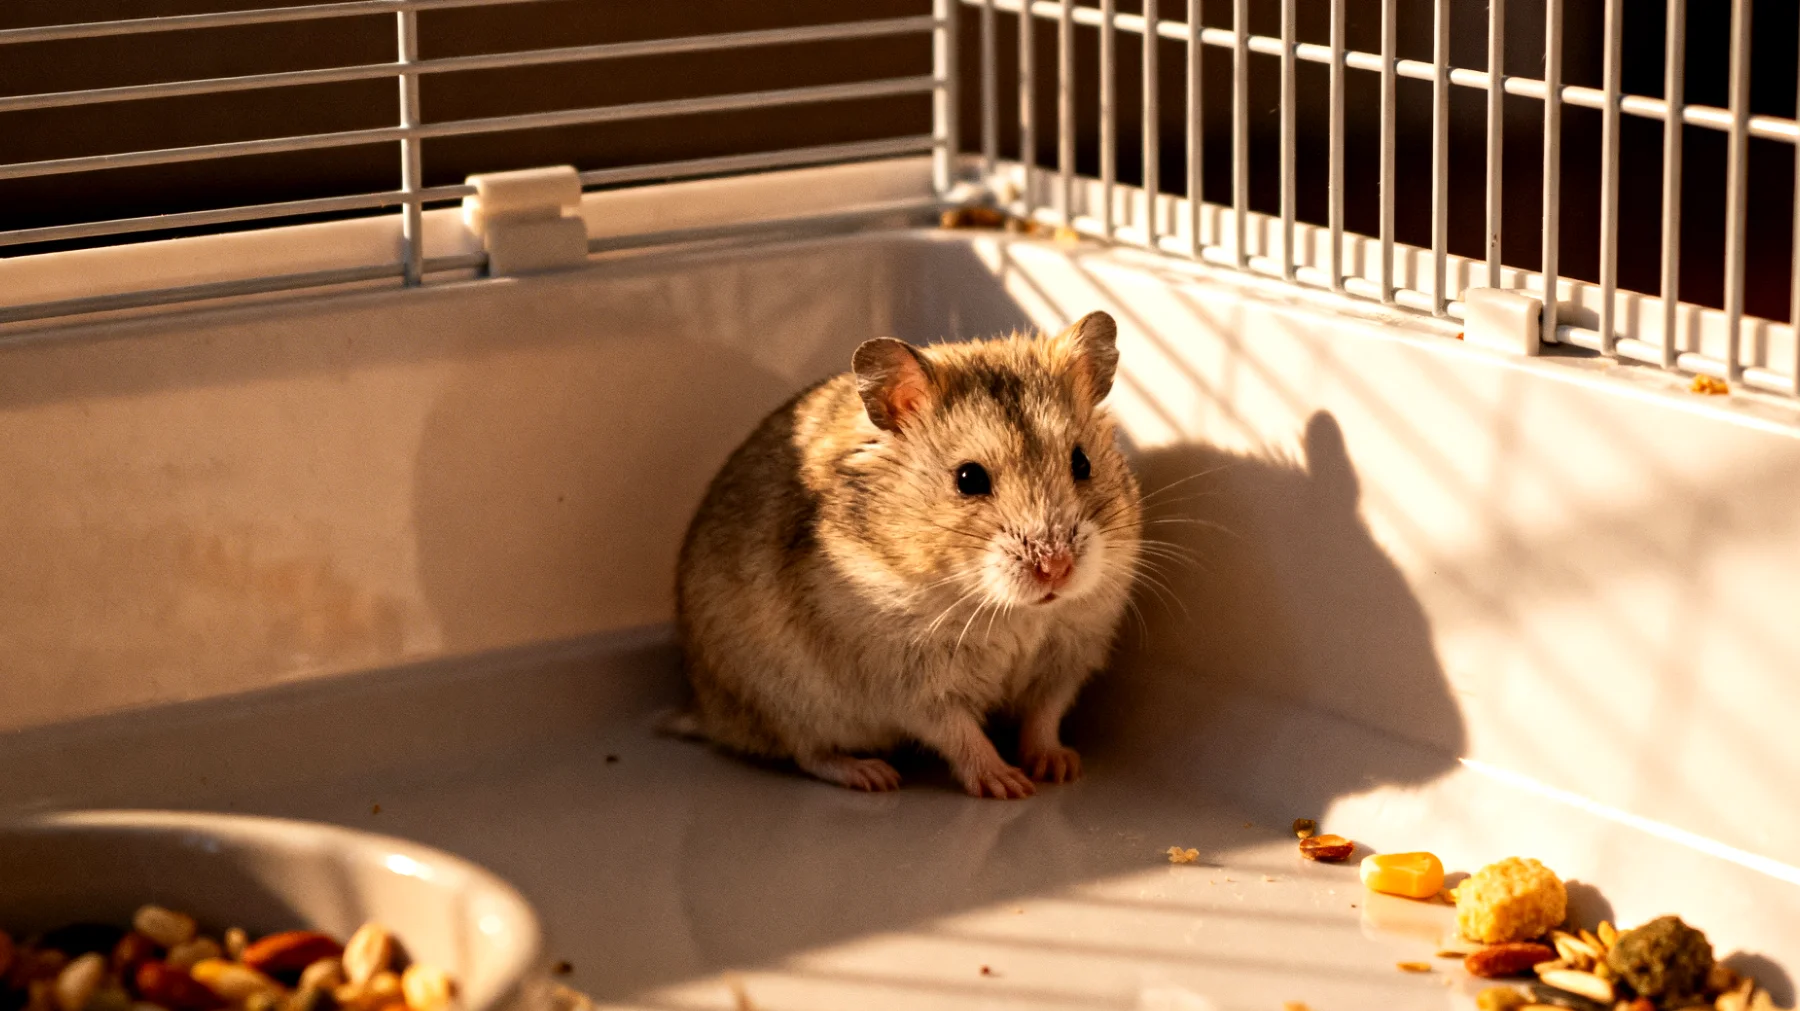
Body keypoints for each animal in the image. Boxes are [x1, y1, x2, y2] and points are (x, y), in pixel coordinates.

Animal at [672, 311, 1143, 799]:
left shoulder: (1067, 658)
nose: (1056, 568)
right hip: (787, 701)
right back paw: (873, 775)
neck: (1014, 612)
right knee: (808, 752)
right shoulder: (909, 680)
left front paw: (1059, 767)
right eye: (969, 478)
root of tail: (708, 711)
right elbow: (958, 732)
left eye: (1082, 463)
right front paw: (1008, 785)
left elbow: (1044, 716)